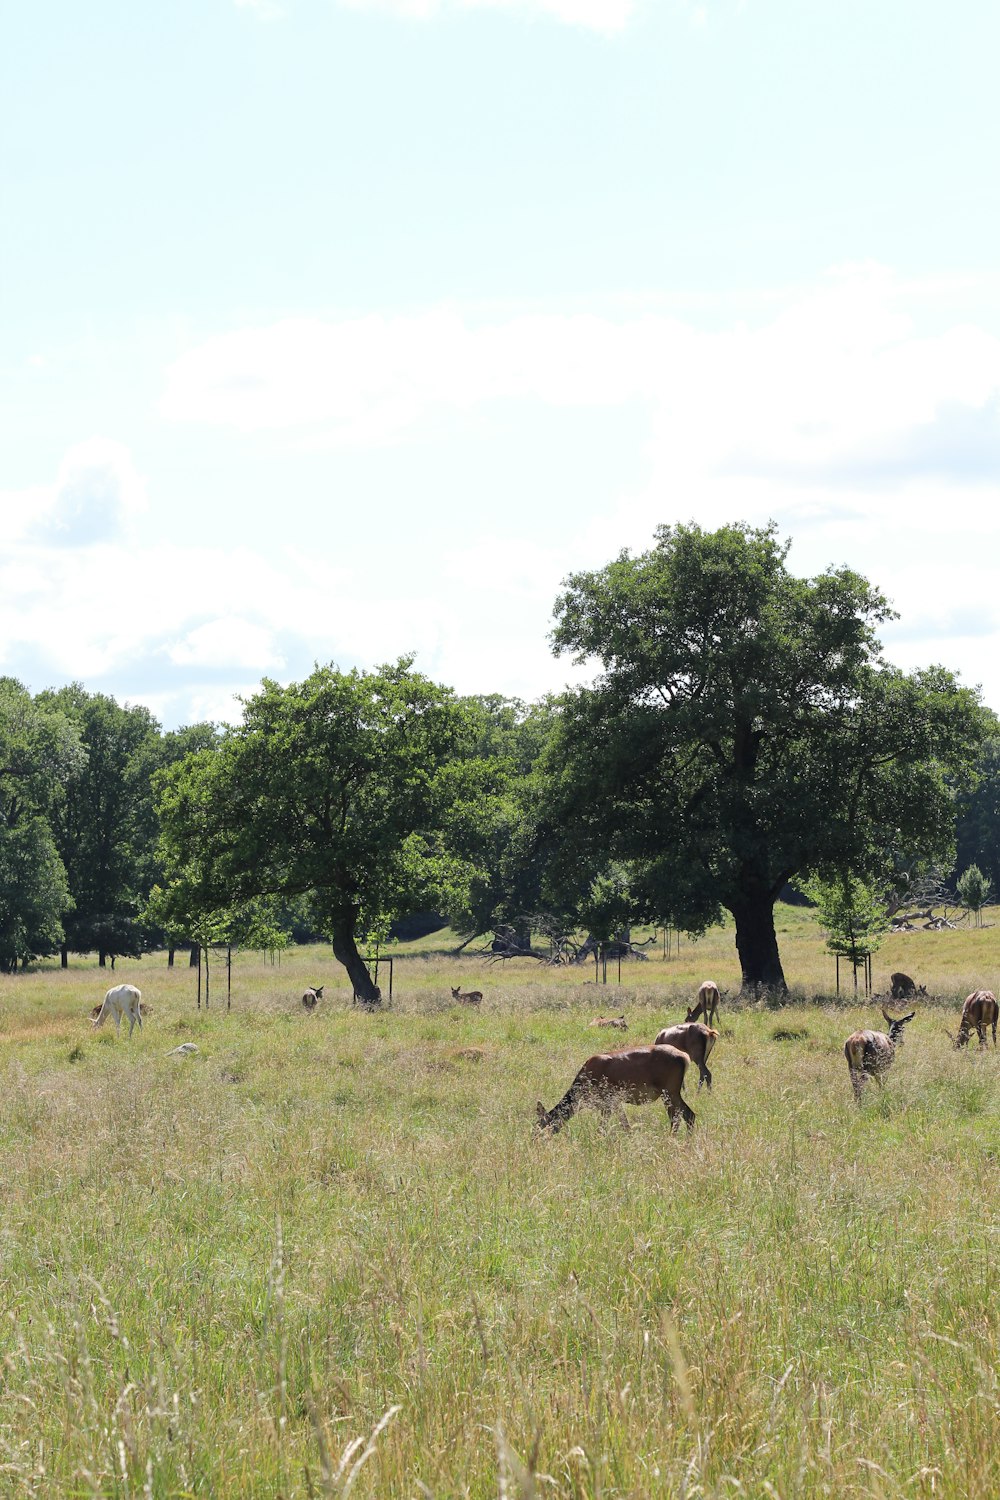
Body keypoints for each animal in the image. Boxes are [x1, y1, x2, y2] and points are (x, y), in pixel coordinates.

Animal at [539, 1044, 695, 1134]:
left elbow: (602, 1129)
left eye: (541, 1125)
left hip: (669, 1090)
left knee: (683, 1115)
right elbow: (625, 1125)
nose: (536, 1141)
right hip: (670, 1092)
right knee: (682, 1115)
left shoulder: (609, 1100)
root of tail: (685, 1057)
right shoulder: (614, 1102)